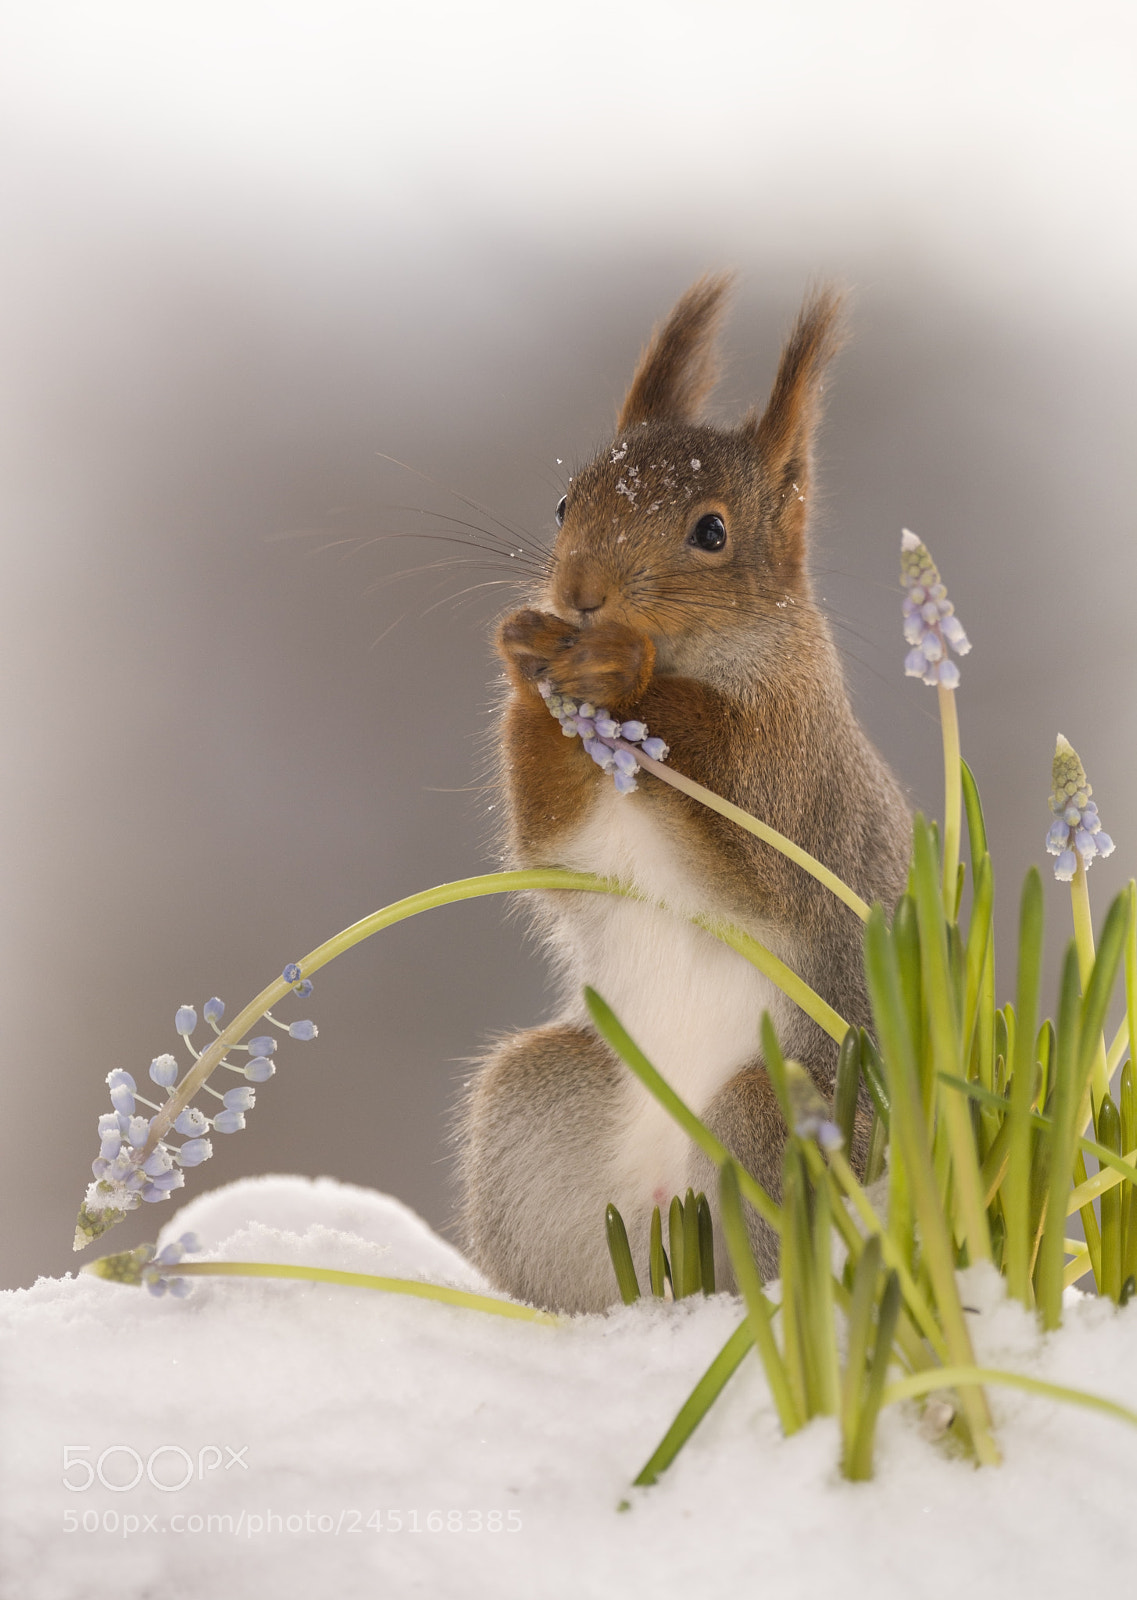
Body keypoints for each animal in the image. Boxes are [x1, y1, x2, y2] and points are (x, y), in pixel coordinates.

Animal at [456, 276, 911, 1313]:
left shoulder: (794, 773)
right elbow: (545, 839)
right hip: (532, 1108)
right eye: (563, 502)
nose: (581, 594)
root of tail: (663, 1204)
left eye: (710, 532)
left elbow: (746, 826)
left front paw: (621, 671)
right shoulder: (577, 845)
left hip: (779, 1121)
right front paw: (526, 649)